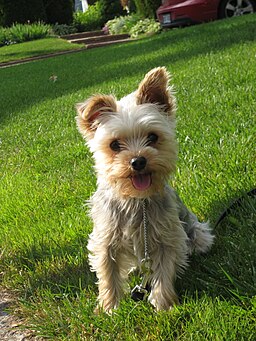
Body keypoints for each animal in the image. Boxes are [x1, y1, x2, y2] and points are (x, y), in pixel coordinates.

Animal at [76, 66, 214, 310]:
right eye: (114, 145)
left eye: (152, 137)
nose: (138, 161)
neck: (136, 199)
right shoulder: (105, 237)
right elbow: (107, 271)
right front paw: (109, 307)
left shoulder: (168, 236)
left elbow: (164, 270)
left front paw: (163, 304)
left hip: (197, 231)